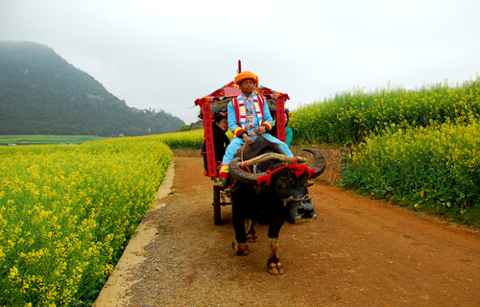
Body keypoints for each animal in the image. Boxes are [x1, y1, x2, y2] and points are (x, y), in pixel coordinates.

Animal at [226, 136, 324, 276]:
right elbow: (241, 241)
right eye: (279, 185)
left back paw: (251, 234)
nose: (306, 211)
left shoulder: (278, 218)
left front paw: (274, 263)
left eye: (304, 182)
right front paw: (236, 244)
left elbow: (273, 242)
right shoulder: (237, 209)